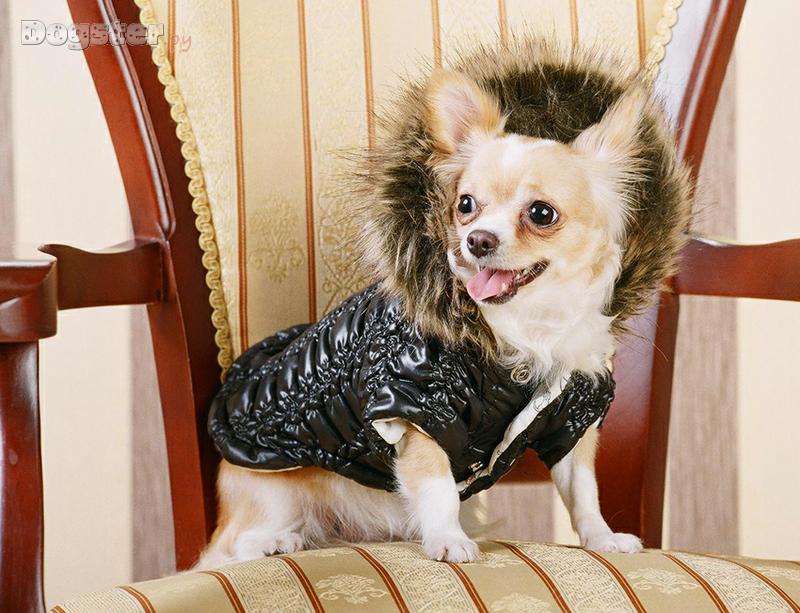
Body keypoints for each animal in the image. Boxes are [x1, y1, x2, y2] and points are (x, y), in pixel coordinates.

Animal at [196, 41, 690, 569]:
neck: (524, 327)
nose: (477, 240)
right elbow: (438, 489)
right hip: (275, 494)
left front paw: (602, 538)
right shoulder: (416, 412)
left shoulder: (570, 418)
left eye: (541, 214)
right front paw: (448, 539)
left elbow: (583, 492)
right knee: (229, 549)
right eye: (465, 205)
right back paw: (277, 542)